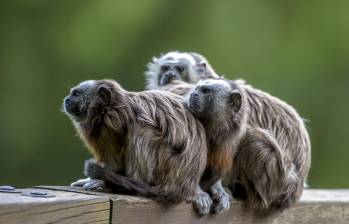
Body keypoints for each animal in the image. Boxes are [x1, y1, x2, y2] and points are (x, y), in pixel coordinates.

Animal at [62, 79, 211, 210]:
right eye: (72, 94)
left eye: (75, 94)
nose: (66, 99)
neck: (111, 108)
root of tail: (186, 184)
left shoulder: (112, 124)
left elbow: (116, 163)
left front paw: (103, 182)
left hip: (169, 163)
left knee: (140, 126)